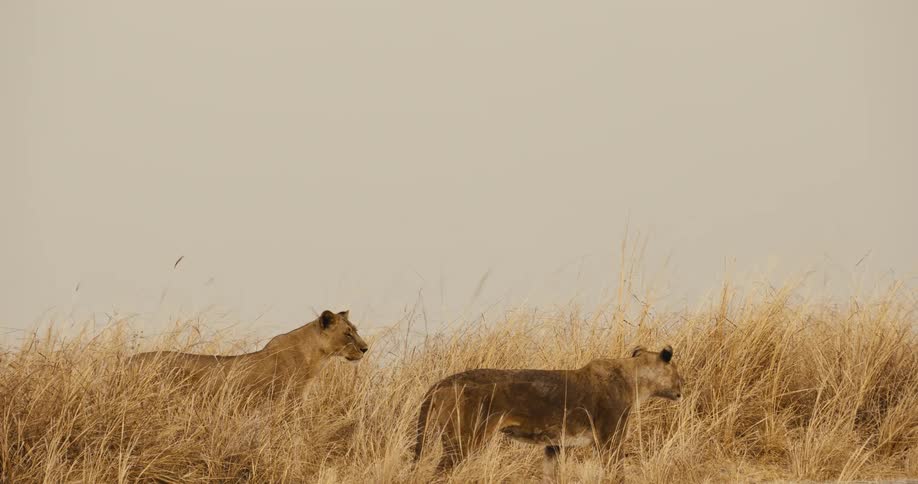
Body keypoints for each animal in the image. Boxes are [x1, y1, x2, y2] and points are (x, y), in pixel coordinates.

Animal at [413, 345, 684, 480]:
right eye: (676, 372)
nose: (683, 385)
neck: (635, 382)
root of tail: (441, 382)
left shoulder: (555, 445)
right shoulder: (609, 440)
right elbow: (617, 474)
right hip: (462, 441)